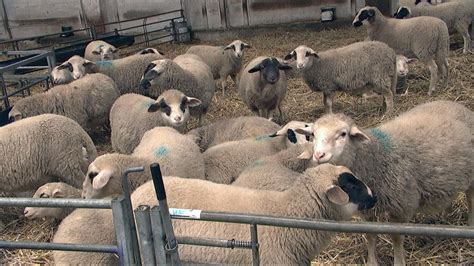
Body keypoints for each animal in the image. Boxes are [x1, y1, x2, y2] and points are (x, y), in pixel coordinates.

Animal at [296, 100, 474, 266]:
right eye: (313, 134)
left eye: (343, 134)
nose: (319, 155)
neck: (376, 155)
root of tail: (455, 104)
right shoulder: (366, 209)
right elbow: (370, 235)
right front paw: (371, 261)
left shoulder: (402, 204)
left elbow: (396, 237)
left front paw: (399, 262)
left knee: (470, 199)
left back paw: (469, 227)